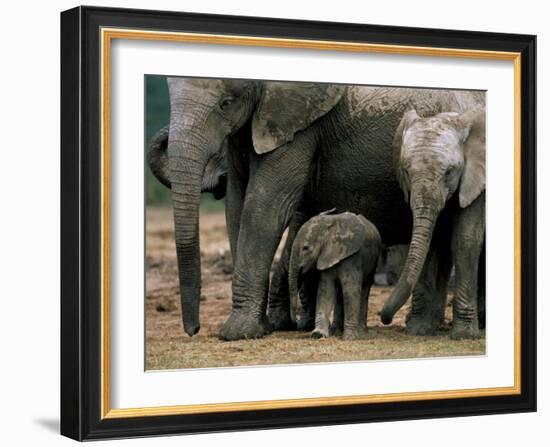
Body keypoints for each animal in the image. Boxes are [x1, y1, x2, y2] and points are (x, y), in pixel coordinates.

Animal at [288, 211, 384, 340]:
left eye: (305, 248)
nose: (294, 322)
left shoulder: (352, 256)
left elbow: (351, 290)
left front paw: (349, 338)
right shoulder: (326, 255)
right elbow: (325, 289)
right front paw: (318, 334)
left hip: (372, 263)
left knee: (364, 290)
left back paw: (361, 333)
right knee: (340, 294)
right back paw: (336, 331)